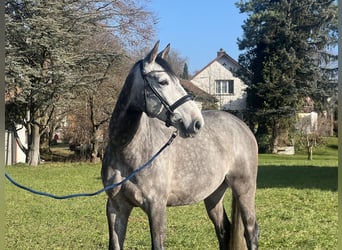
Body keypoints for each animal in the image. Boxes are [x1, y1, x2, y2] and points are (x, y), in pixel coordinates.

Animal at [101, 42, 260, 249]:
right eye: (162, 82)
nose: (196, 123)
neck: (127, 150)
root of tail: (243, 126)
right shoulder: (116, 207)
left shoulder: (156, 207)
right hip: (214, 194)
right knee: (223, 230)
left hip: (244, 189)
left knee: (251, 231)